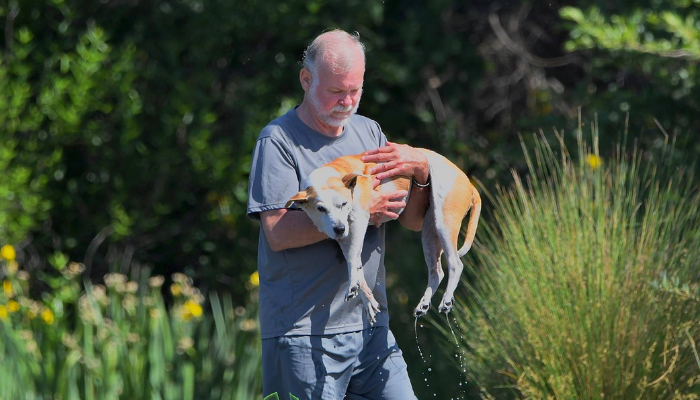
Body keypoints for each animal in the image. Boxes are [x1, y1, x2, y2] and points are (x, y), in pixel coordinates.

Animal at [284, 148, 482, 324]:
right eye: (320, 209)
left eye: (344, 203)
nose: (339, 228)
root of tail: (469, 183)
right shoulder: (345, 238)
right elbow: (355, 263)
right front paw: (366, 299)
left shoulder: (358, 221)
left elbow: (353, 259)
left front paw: (352, 285)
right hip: (429, 233)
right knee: (437, 272)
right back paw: (424, 304)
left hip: (444, 223)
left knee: (456, 264)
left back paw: (447, 299)